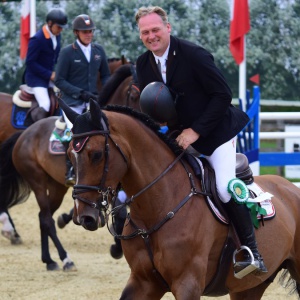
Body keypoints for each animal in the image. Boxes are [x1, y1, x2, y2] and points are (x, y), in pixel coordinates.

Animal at [0, 63, 139, 270]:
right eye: (135, 94)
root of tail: (24, 135)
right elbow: (119, 210)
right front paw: (116, 246)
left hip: (57, 187)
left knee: (44, 216)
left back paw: (48, 258)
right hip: (37, 181)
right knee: (46, 218)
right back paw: (64, 258)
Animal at [60, 99, 300, 300]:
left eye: (96, 154)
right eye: (70, 154)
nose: (84, 217)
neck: (155, 210)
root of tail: (290, 188)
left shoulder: (188, 284)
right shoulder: (143, 282)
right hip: (249, 287)